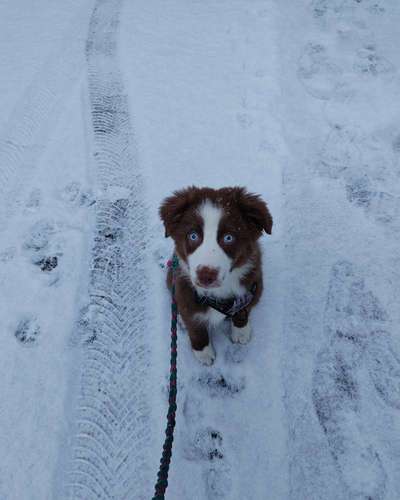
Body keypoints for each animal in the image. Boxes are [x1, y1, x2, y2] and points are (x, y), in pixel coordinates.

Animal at [159, 186, 272, 366]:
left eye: (228, 237)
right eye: (193, 235)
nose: (206, 275)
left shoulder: (253, 287)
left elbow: (243, 310)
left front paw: (241, 332)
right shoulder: (185, 293)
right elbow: (195, 327)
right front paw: (203, 352)